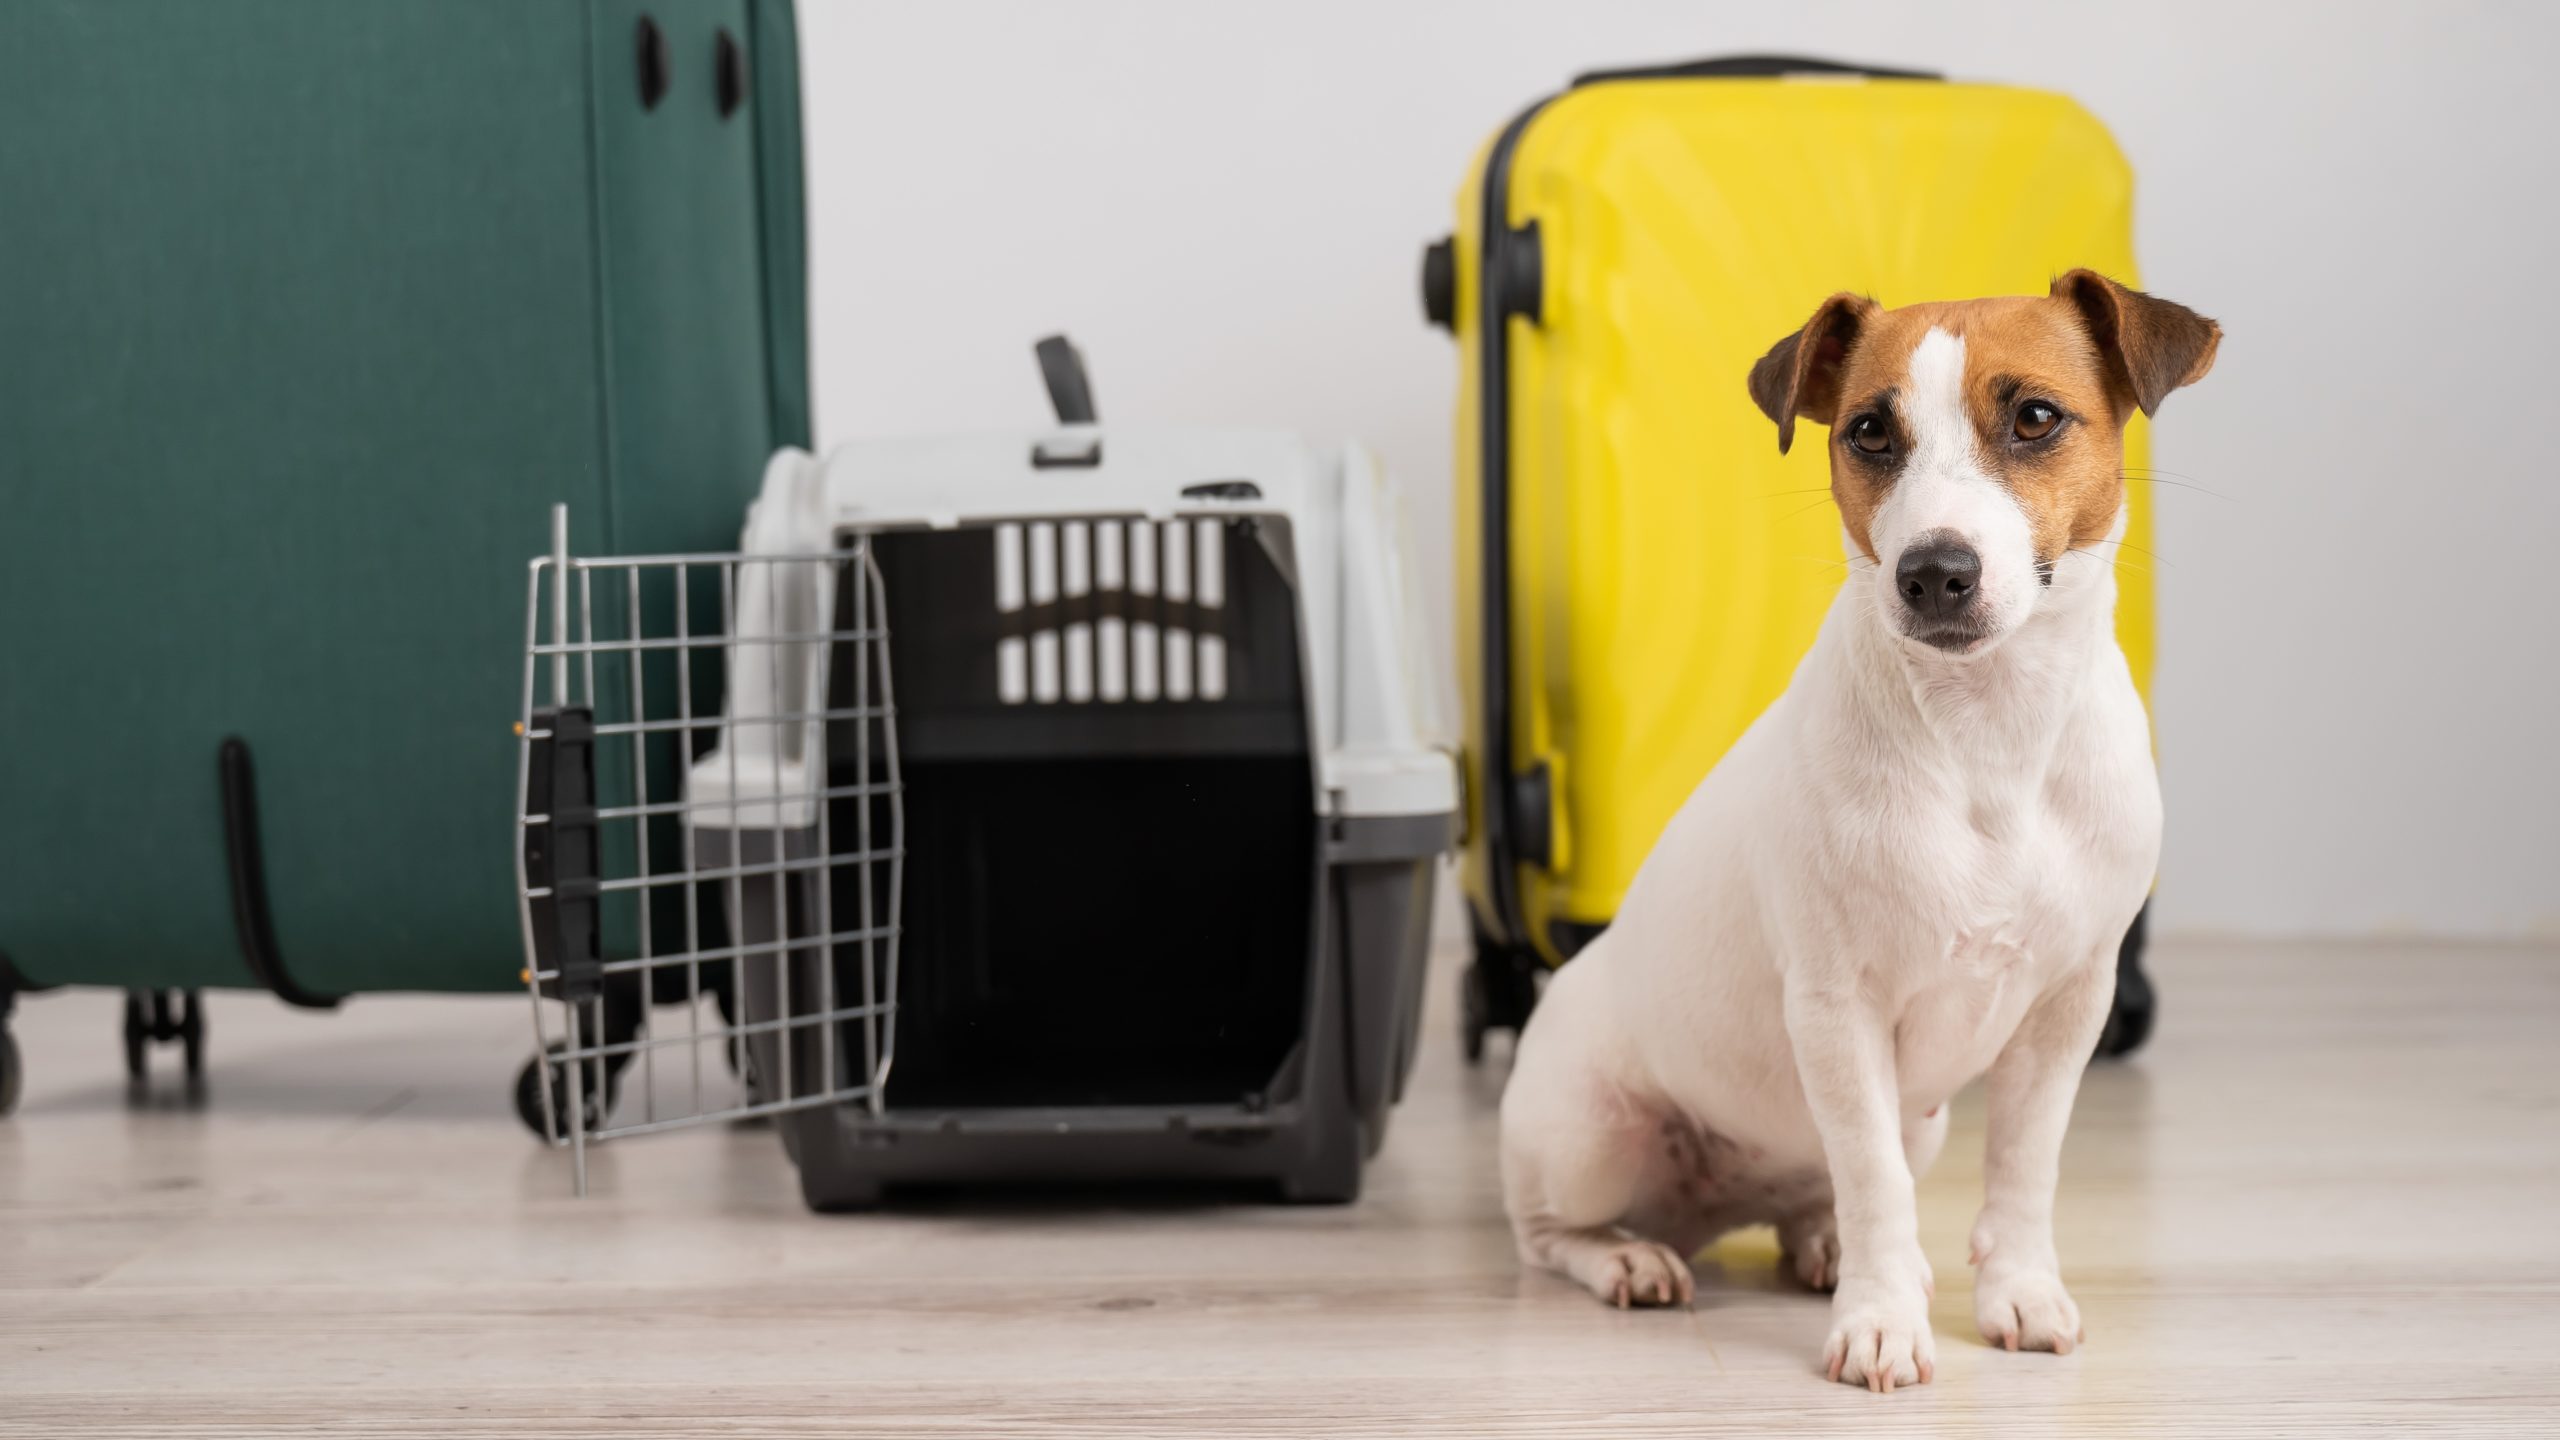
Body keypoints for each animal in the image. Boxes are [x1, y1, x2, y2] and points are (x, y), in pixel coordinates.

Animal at [1495, 271, 2222, 1393]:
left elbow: (2024, 1164)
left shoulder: (2071, 1004)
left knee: (1815, 1193)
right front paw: (1881, 1322)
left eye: (2035, 417)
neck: (1988, 733)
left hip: (1914, 1120)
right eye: (1869, 432)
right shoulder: (1840, 1009)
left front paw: (2018, 1292)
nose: (1934, 571)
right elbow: (1875, 1183)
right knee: (1549, 1233)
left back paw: (1819, 1243)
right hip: (1587, 1138)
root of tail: (1717, 1207)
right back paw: (1630, 1260)